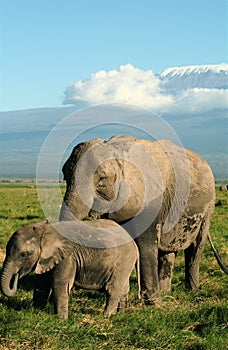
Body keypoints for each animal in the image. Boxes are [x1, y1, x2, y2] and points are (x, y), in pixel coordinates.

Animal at [0, 220, 140, 318]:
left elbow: (60, 284)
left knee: (113, 289)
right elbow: (42, 284)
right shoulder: (46, 258)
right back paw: (121, 314)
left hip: (123, 260)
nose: (16, 275)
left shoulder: (67, 258)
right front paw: (37, 313)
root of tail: (134, 245)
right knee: (124, 288)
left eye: (23, 255)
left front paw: (61, 320)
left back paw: (107, 316)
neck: (43, 229)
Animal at [59, 135, 226, 304]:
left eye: (102, 179)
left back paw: (192, 290)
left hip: (208, 207)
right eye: (65, 176)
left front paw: (154, 304)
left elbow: (146, 243)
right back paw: (165, 291)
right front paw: (124, 304)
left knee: (196, 246)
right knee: (168, 251)